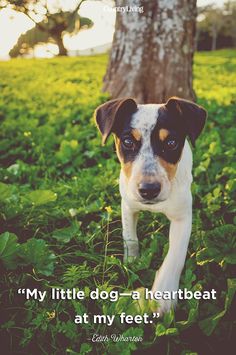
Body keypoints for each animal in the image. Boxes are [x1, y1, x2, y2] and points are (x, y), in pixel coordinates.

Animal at [94, 96, 206, 314]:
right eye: (128, 142)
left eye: (171, 143)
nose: (148, 189)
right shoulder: (127, 205)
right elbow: (130, 238)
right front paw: (131, 263)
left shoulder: (183, 217)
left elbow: (175, 256)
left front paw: (163, 295)